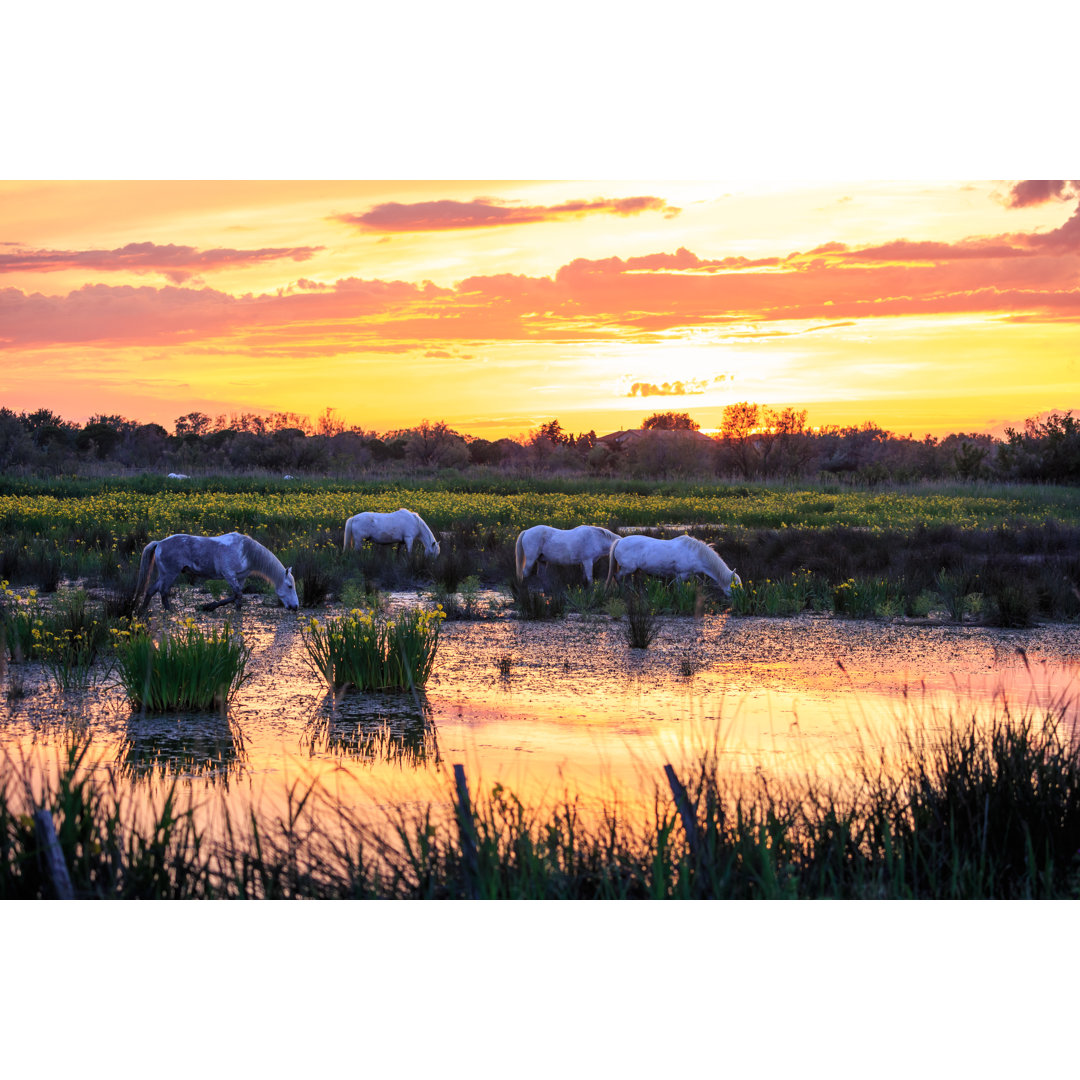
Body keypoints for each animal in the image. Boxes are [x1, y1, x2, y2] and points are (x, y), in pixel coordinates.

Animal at [133, 533, 300, 613]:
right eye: (290, 586)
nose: (296, 607)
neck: (245, 551)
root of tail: (159, 543)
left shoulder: (241, 578)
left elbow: (237, 596)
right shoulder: (229, 575)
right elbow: (237, 595)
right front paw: (208, 606)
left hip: (163, 575)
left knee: (151, 590)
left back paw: (143, 610)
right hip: (170, 574)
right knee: (163, 592)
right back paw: (170, 611)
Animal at [600, 533, 743, 596]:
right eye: (735, 585)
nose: (741, 597)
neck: (696, 554)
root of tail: (620, 541)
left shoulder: (691, 575)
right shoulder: (681, 575)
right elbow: (679, 590)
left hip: (632, 570)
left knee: (628, 580)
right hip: (628, 568)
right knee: (618, 577)